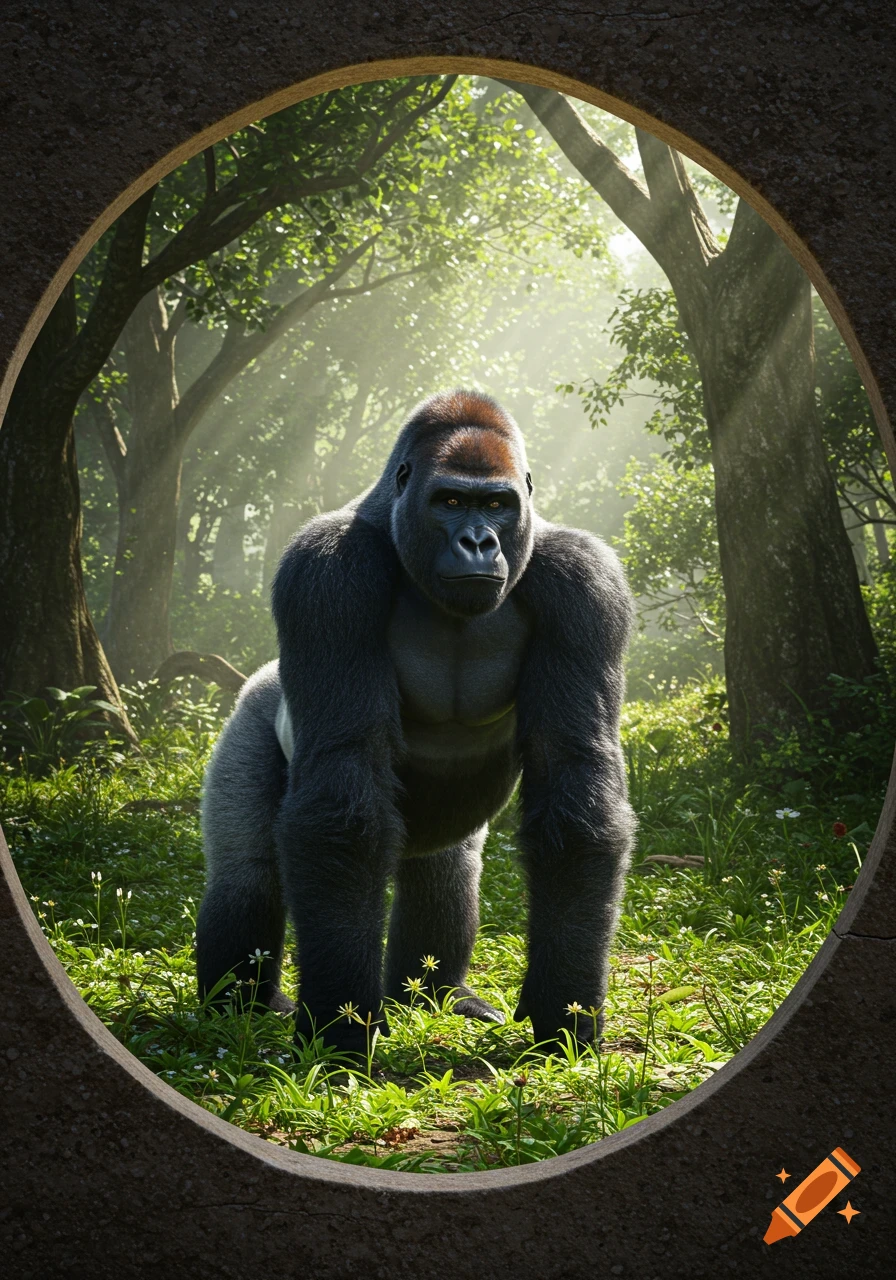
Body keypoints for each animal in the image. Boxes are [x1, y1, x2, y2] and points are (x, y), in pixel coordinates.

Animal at [196, 389, 636, 1056]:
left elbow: (574, 782)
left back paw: (432, 996)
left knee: (446, 868)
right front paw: (341, 1025)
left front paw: (565, 1011)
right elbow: (341, 802)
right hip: (251, 709)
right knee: (246, 874)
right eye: (449, 501)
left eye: (497, 505)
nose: (478, 542)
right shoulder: (326, 572)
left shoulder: (586, 584)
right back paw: (240, 1007)